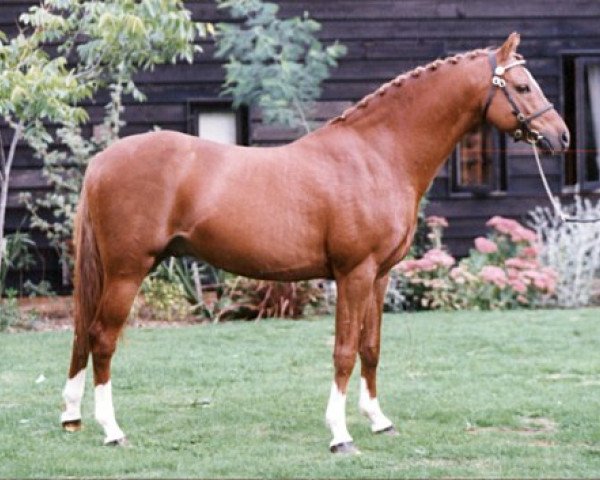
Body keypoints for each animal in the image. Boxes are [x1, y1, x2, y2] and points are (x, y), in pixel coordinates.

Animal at [59, 34, 568, 454]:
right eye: (522, 86)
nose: (560, 137)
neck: (376, 155)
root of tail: (103, 161)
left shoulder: (380, 277)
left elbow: (370, 348)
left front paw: (378, 420)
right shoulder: (353, 273)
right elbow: (343, 351)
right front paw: (340, 435)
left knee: (84, 337)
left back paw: (72, 416)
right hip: (127, 271)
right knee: (102, 339)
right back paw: (112, 430)